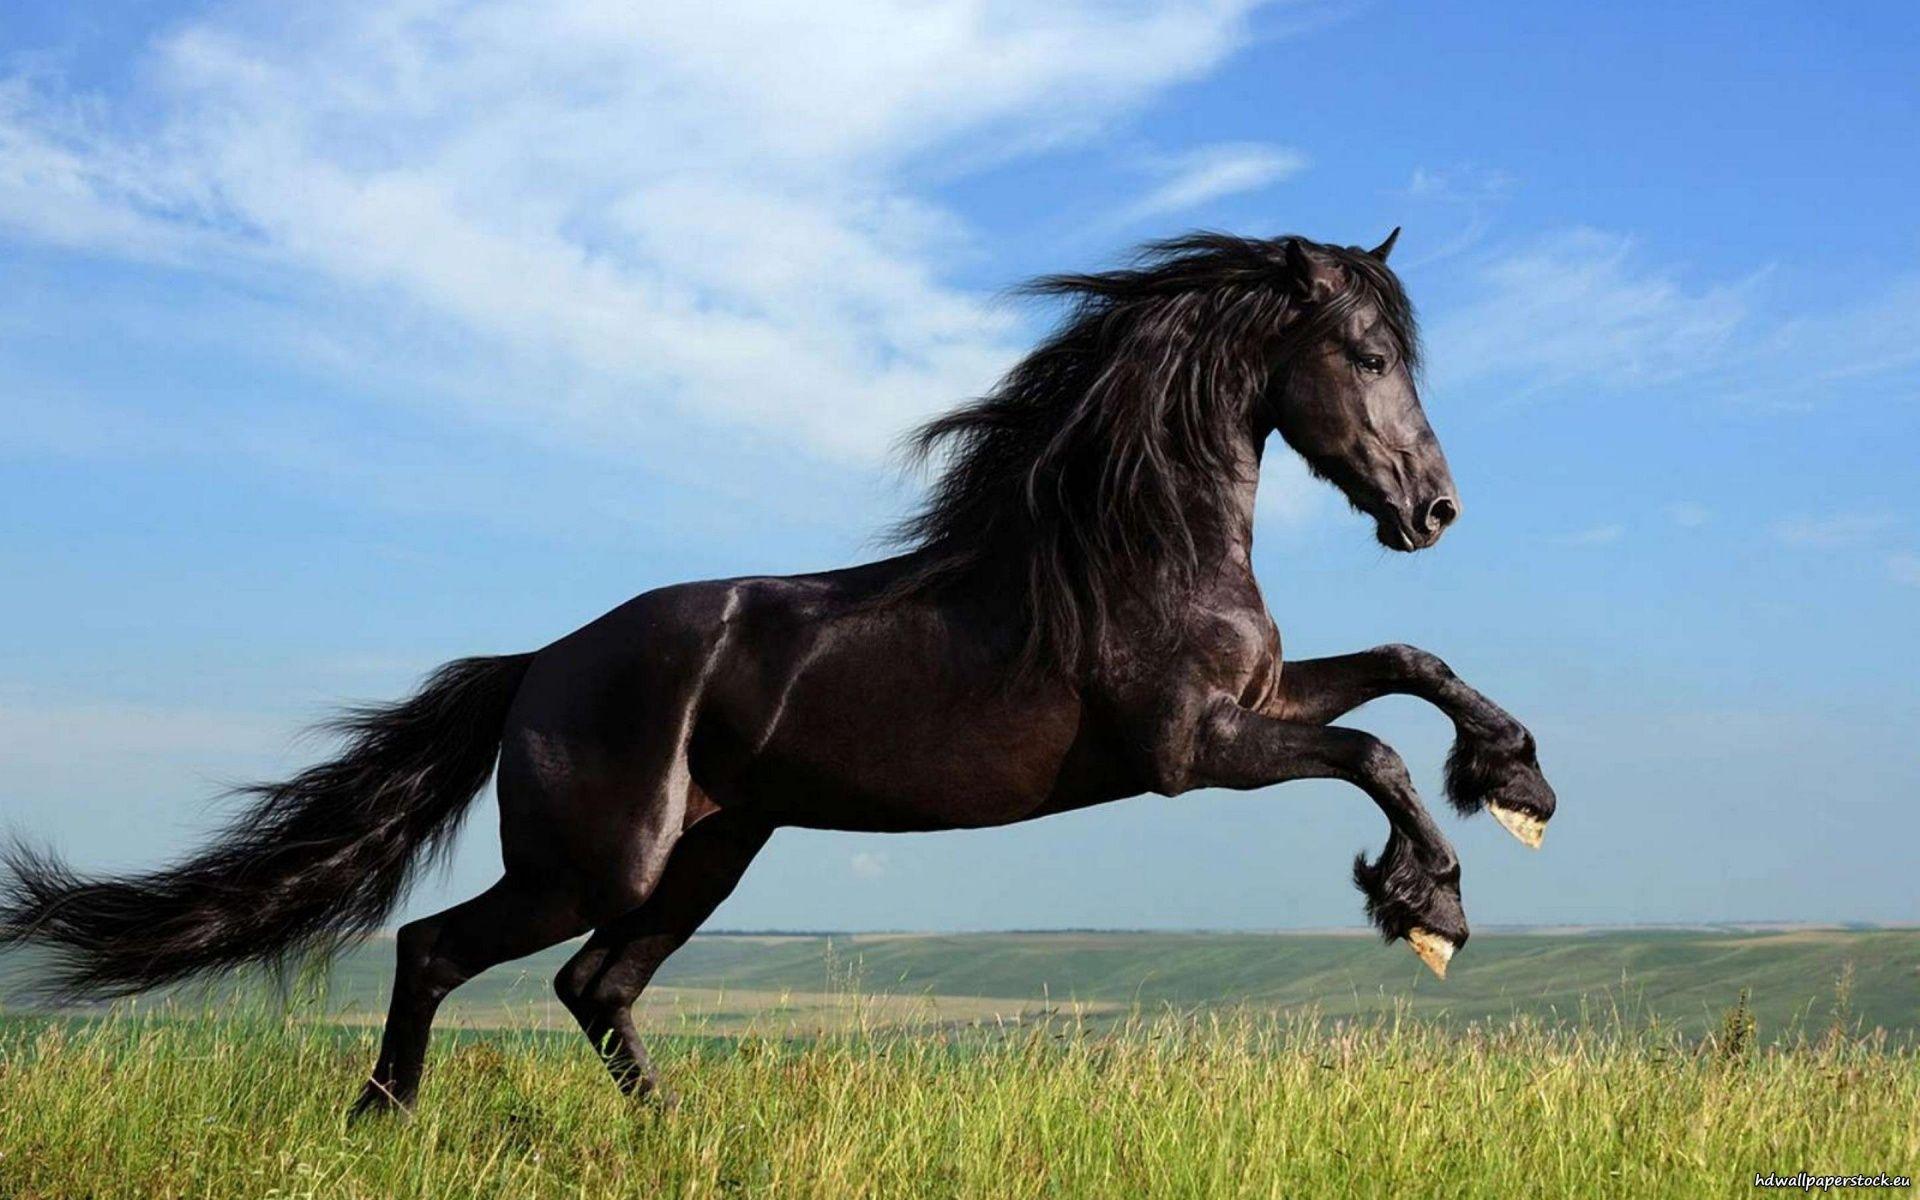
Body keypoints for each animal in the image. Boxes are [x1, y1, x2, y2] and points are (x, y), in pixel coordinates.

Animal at [1, 229, 1558, 1117]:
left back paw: (671, 1137)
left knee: (594, 988)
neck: (1132, 545)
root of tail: (536, 666)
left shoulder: (1256, 705)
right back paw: (381, 1123)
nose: (1434, 510)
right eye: (1364, 350)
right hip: (600, 860)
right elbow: (1371, 751)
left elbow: (1409, 666)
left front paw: (1518, 784)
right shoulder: (1192, 751)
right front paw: (1430, 906)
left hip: (711, 850)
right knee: (442, 950)